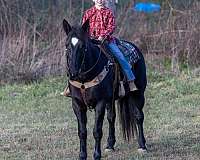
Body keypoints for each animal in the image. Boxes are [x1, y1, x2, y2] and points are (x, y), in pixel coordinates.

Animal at [63, 19, 148, 160]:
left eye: (83, 46)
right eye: (67, 45)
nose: (73, 73)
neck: (84, 79)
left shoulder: (100, 102)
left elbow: (97, 131)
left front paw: (97, 155)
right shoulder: (77, 104)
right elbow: (82, 132)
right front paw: (82, 155)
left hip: (138, 93)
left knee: (138, 116)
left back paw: (142, 146)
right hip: (111, 100)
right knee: (111, 118)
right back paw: (110, 145)